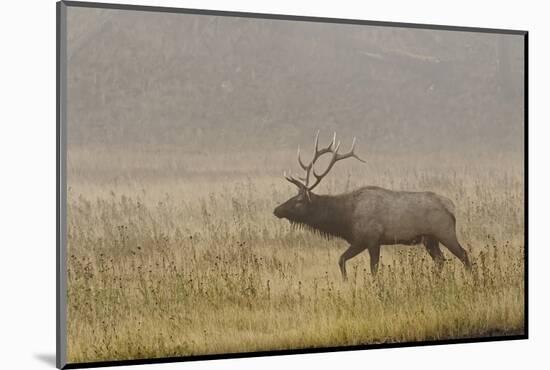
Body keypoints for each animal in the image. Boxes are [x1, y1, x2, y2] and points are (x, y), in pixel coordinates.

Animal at [276, 132, 474, 280]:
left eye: (299, 201)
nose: (276, 210)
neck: (345, 219)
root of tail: (451, 206)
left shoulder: (370, 238)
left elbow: (371, 269)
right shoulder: (361, 240)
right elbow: (342, 260)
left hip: (444, 231)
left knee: (464, 254)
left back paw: (472, 280)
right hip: (429, 239)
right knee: (440, 260)